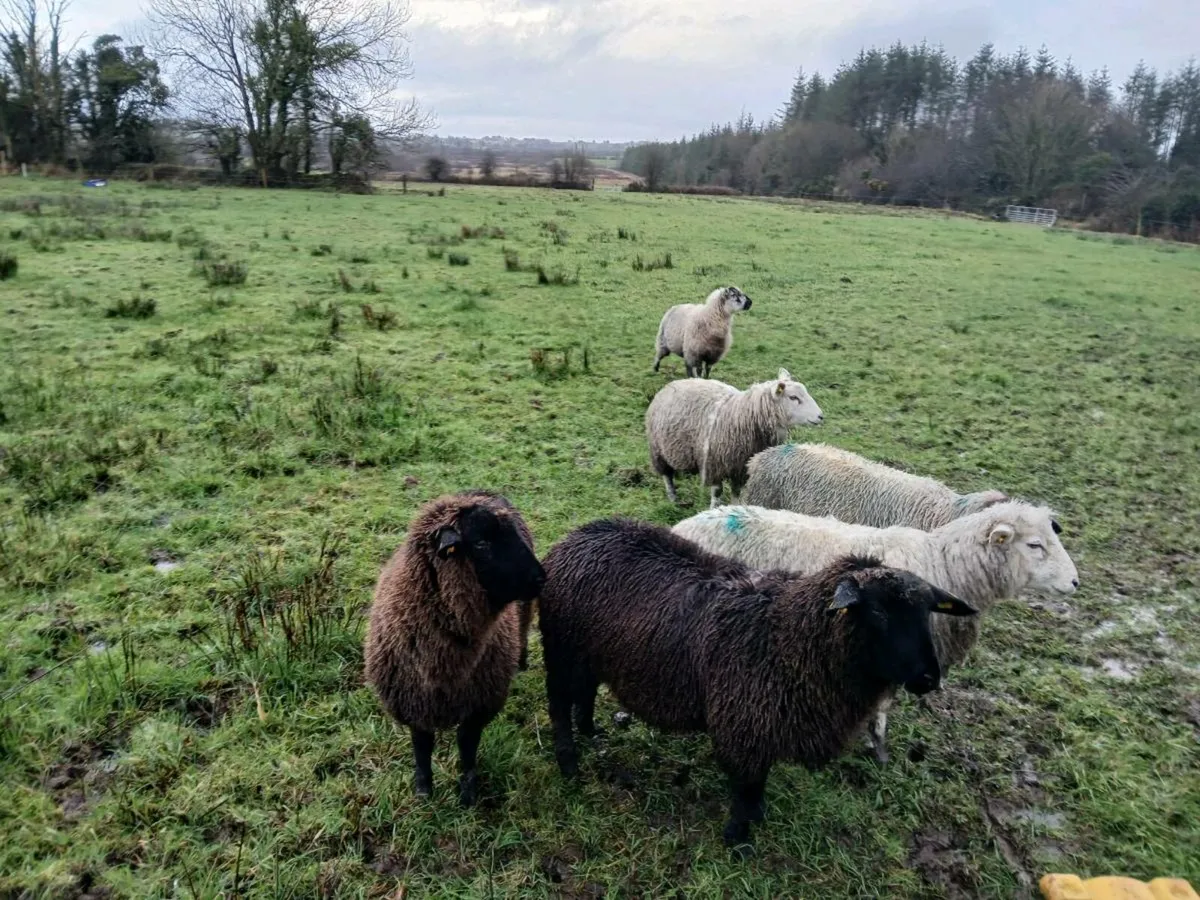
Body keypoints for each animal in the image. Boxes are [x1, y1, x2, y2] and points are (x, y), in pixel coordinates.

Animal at [363, 490, 545, 806]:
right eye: (482, 543)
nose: (541, 577)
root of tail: (480, 489)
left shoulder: (479, 704)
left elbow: (467, 746)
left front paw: (467, 795)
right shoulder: (414, 700)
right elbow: (422, 746)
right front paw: (424, 792)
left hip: (523, 610)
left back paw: (521, 662)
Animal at [538, 518, 977, 853]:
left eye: (927, 612)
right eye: (880, 613)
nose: (929, 678)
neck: (789, 638)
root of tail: (575, 536)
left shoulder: (764, 725)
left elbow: (759, 783)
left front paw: (758, 818)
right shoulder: (743, 725)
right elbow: (745, 788)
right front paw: (739, 839)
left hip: (590, 655)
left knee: (585, 693)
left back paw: (590, 730)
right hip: (560, 649)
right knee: (559, 704)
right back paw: (569, 763)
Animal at [645, 369, 823, 508]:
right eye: (793, 398)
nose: (821, 416)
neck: (744, 415)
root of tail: (675, 382)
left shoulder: (742, 467)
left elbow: (736, 492)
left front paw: (735, 507)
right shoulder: (715, 463)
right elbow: (717, 492)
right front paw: (714, 508)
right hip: (658, 449)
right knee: (667, 475)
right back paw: (673, 498)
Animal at [672, 501, 1078, 762]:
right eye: (1035, 545)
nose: (1076, 582)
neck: (944, 566)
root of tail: (685, 524)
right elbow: (882, 704)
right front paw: (877, 745)